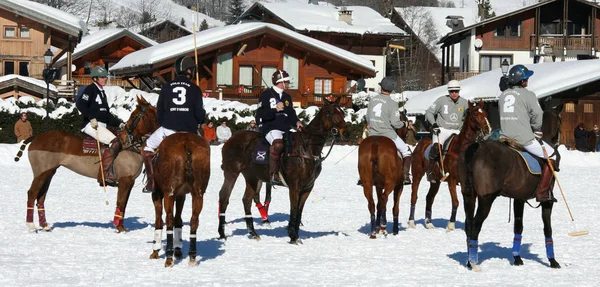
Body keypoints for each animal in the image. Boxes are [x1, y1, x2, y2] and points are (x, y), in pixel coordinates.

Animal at [14, 97, 159, 234]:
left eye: (134, 116)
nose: (124, 137)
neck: (131, 146)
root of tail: (36, 137)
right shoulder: (125, 180)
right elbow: (121, 202)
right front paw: (119, 227)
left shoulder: (130, 181)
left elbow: (124, 204)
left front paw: (121, 227)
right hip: (41, 172)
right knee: (32, 193)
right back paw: (31, 226)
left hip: (49, 172)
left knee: (41, 196)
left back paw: (44, 225)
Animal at [147, 133, 209, 268]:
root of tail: (187, 144)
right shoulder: (181, 194)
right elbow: (179, 219)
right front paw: (178, 250)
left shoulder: (158, 193)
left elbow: (159, 219)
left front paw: (156, 251)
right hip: (198, 193)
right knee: (194, 220)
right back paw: (192, 257)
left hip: (168, 193)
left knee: (169, 219)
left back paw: (169, 258)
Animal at [218, 98, 350, 244]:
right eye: (330, 113)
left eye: (342, 112)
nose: (346, 133)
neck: (307, 148)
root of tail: (230, 140)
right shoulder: (294, 186)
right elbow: (294, 210)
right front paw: (292, 236)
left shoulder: (307, 187)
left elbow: (299, 212)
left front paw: (296, 235)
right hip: (231, 172)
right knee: (224, 196)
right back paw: (222, 234)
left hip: (252, 177)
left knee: (247, 200)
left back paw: (253, 233)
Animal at [406, 100, 490, 231]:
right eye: (475, 114)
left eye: (485, 113)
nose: (488, 129)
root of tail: (420, 143)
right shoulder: (452, 180)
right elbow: (456, 202)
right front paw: (451, 225)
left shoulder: (467, 182)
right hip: (417, 174)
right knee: (414, 196)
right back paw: (411, 222)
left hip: (436, 181)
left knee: (429, 197)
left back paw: (429, 223)